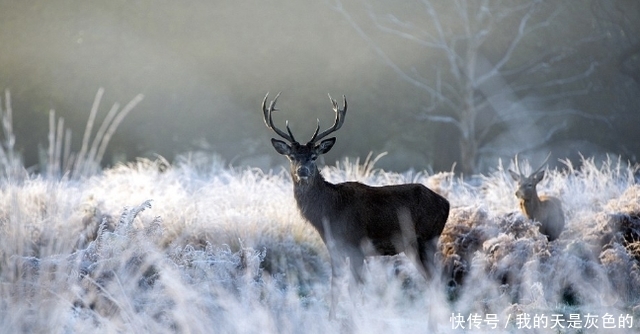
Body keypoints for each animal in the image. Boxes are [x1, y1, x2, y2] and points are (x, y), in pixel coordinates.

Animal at [260, 92, 450, 318]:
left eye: (314, 156)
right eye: (291, 156)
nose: (302, 171)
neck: (329, 212)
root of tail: (446, 204)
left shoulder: (356, 246)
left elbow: (353, 290)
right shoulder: (334, 248)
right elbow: (335, 286)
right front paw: (331, 319)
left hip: (425, 240)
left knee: (436, 281)